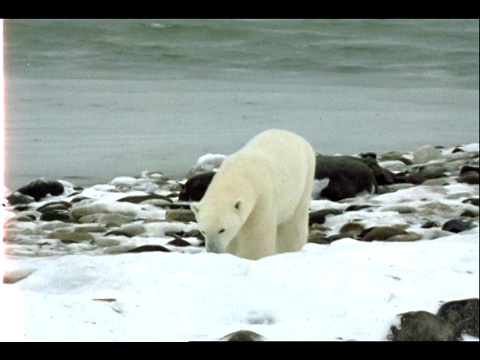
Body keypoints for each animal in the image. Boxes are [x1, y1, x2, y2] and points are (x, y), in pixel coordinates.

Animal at [189, 128, 316, 260]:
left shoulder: (262, 198)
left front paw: (249, 257)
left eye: (222, 230)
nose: (213, 251)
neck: (240, 172)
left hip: (305, 179)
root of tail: (292, 134)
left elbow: (256, 235)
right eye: (203, 231)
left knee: (293, 222)